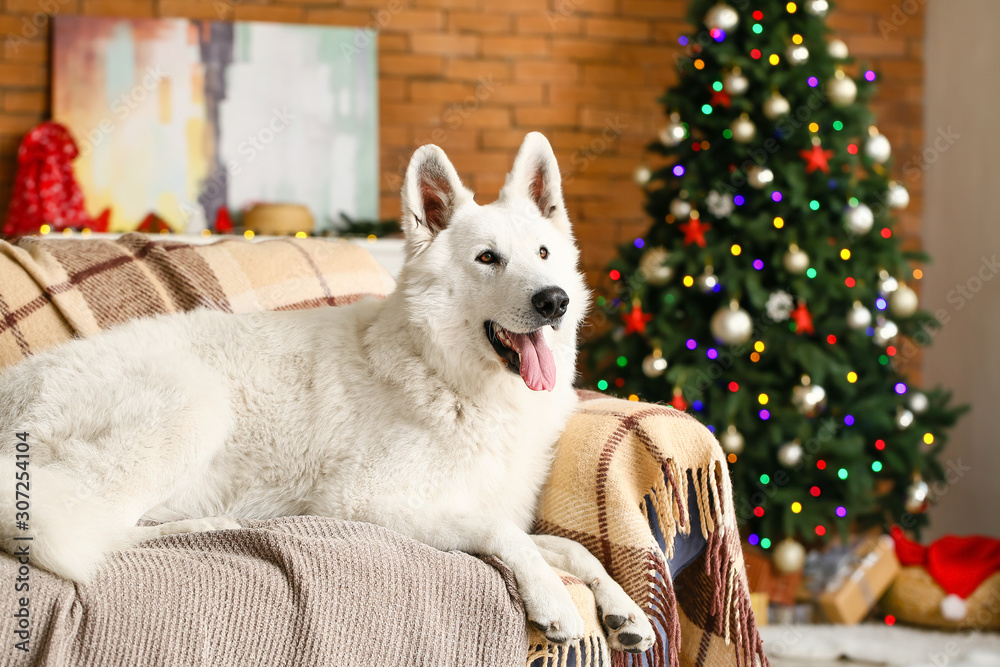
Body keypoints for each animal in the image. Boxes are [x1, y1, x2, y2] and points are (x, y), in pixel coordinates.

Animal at [1, 133, 656, 656]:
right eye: (488, 258)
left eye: (544, 254)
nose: (554, 300)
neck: (449, 378)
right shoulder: (366, 504)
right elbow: (509, 538)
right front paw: (554, 600)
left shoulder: (477, 505)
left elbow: (568, 547)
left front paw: (620, 606)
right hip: (193, 408)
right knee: (87, 530)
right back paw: (204, 528)